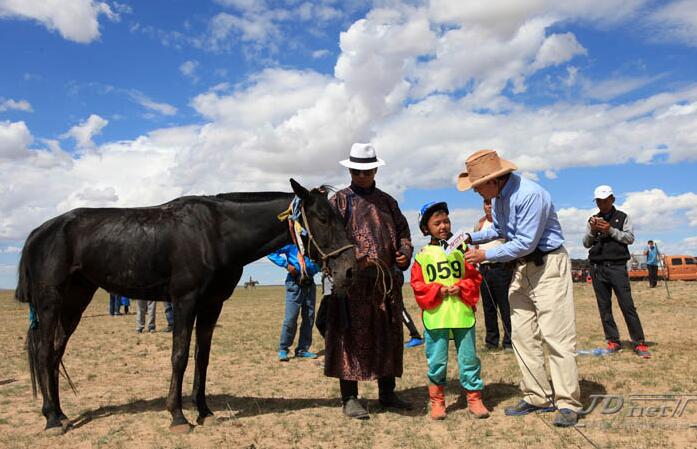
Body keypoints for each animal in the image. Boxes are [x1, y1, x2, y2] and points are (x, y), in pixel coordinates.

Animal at [15, 179, 357, 434]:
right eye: (323, 218)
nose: (350, 269)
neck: (215, 233)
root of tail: (39, 231)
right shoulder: (184, 301)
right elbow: (178, 356)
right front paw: (178, 416)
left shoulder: (211, 305)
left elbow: (201, 358)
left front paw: (204, 411)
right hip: (50, 302)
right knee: (44, 353)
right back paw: (51, 418)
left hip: (76, 300)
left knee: (56, 353)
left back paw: (61, 413)